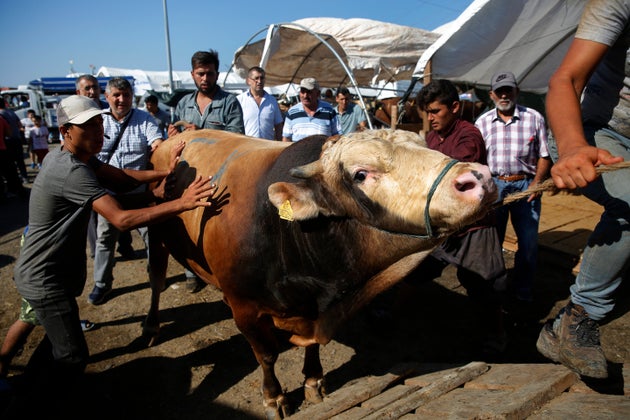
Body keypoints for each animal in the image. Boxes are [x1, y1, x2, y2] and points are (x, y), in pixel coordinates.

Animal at [147, 130, 498, 418]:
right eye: (360, 174)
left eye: (425, 144)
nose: (478, 177)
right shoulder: (245, 308)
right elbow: (267, 355)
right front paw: (275, 398)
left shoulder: (312, 310)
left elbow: (312, 346)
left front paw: (314, 382)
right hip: (156, 233)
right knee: (156, 280)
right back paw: (151, 325)